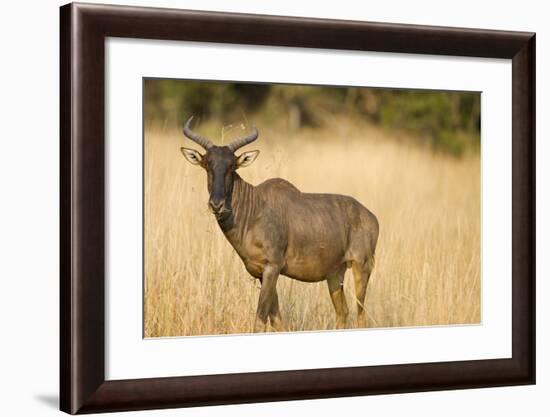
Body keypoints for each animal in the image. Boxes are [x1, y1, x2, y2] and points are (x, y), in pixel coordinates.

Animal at [181, 116, 380, 332]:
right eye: (207, 164)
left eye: (232, 166)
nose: (216, 204)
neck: (255, 207)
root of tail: (372, 217)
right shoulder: (261, 272)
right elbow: (277, 320)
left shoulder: (273, 267)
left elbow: (260, 319)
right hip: (335, 273)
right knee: (342, 312)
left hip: (362, 267)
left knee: (360, 314)